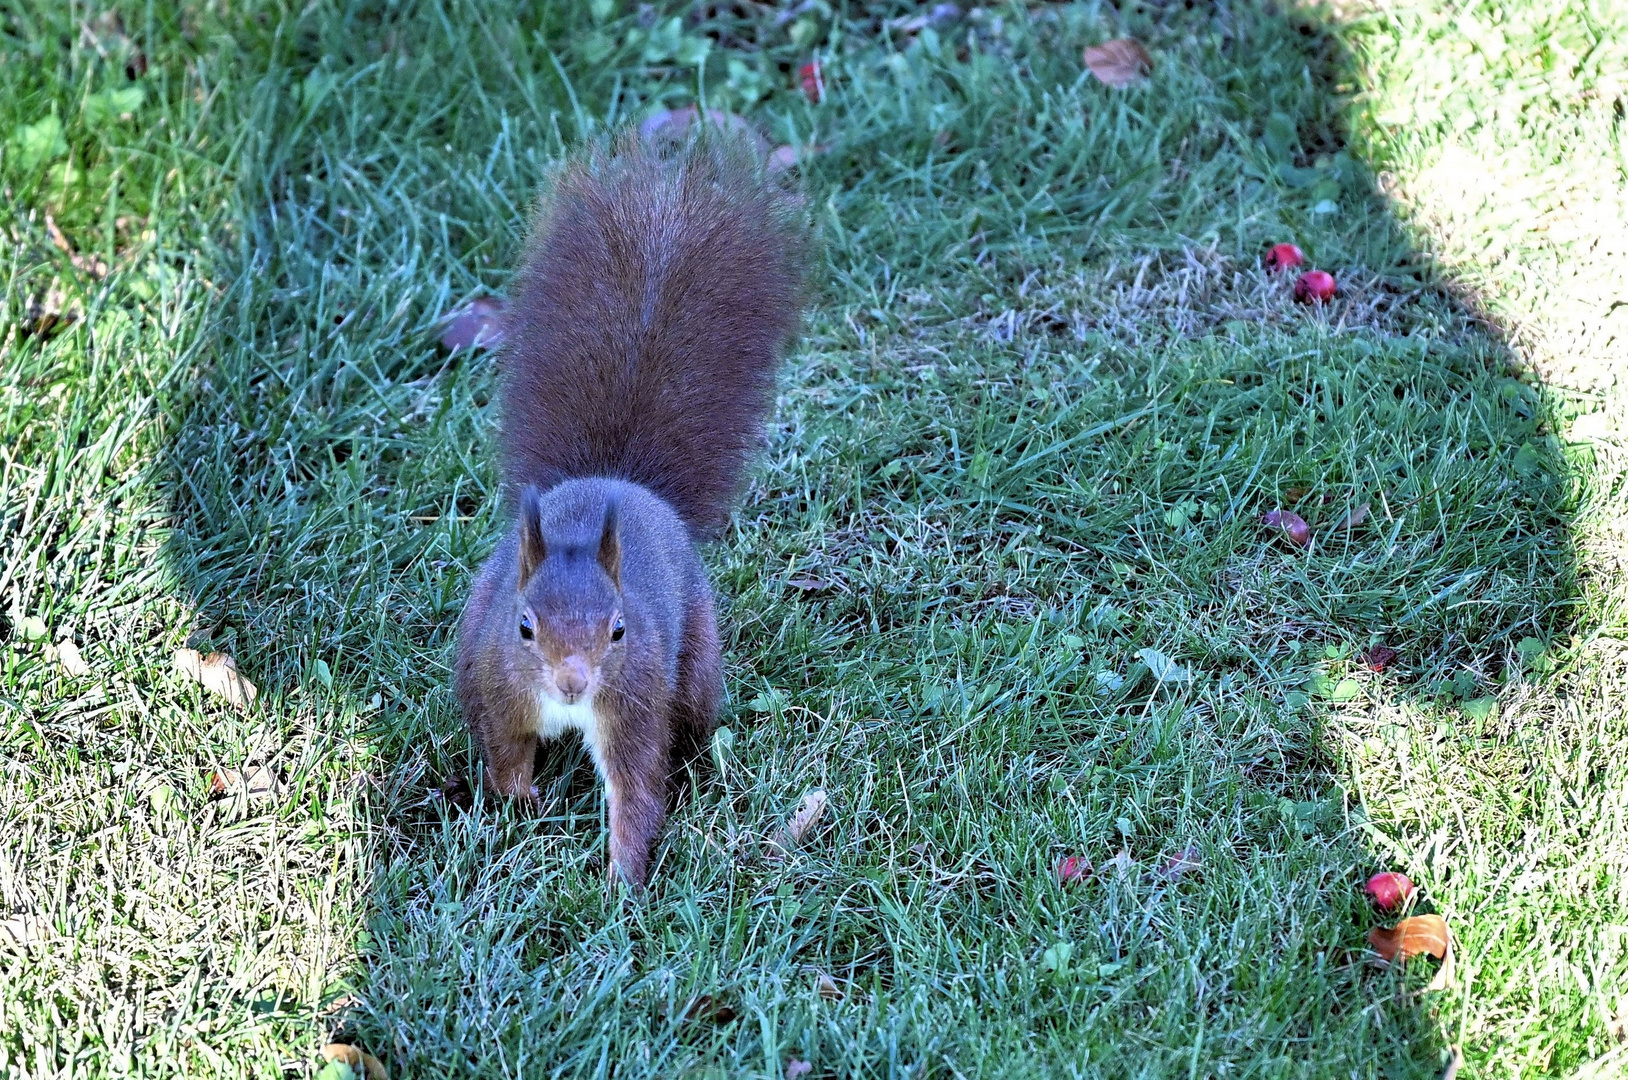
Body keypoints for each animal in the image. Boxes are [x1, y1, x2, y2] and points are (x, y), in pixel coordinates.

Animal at [452, 132, 807, 886]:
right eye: (524, 626)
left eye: (618, 630)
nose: (573, 681)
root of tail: (623, 483)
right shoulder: (501, 685)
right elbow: (504, 751)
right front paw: (521, 804)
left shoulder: (635, 702)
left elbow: (638, 790)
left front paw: (620, 886)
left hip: (694, 660)